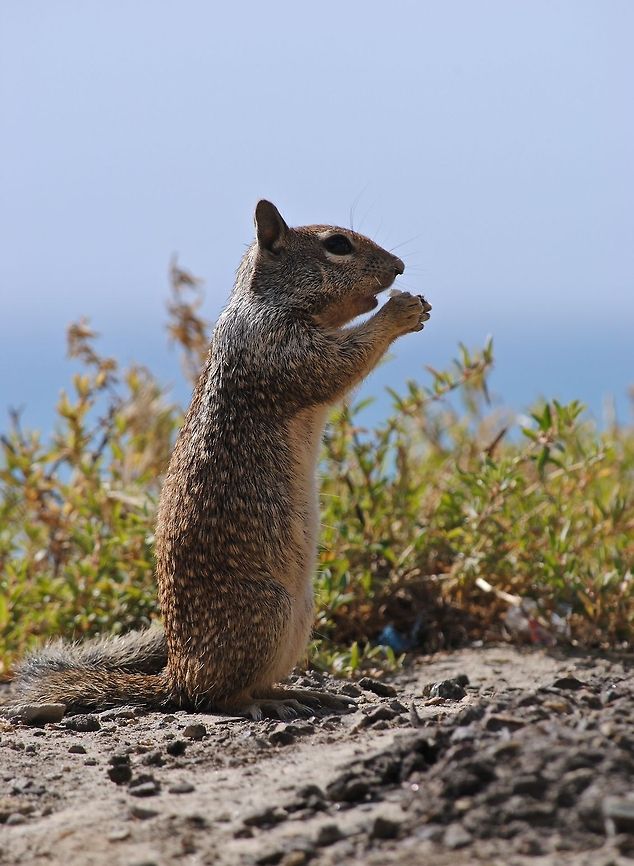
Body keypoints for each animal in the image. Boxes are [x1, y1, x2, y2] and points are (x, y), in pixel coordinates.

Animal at [9, 201, 432, 720]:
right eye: (337, 244)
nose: (400, 267)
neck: (267, 302)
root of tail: (176, 673)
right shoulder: (279, 349)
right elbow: (337, 365)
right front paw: (402, 310)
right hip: (265, 615)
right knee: (217, 696)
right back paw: (264, 704)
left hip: (298, 617)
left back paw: (302, 693)